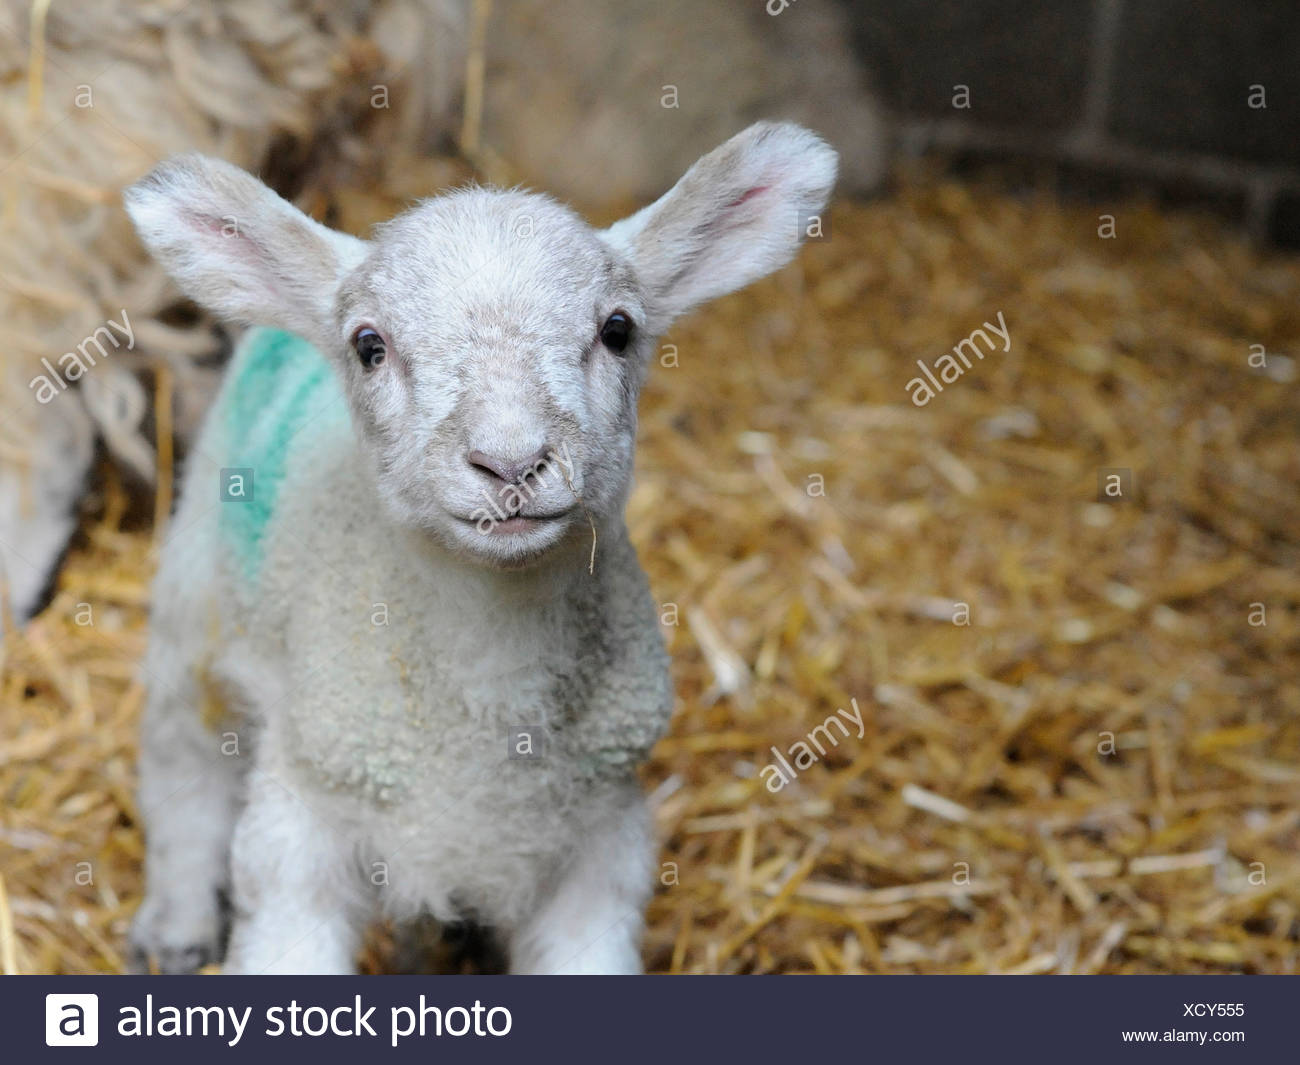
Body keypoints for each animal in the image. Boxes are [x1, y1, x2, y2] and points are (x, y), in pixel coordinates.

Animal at [123, 121, 837, 975]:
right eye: (370, 345)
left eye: (618, 330)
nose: (510, 461)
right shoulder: (301, 821)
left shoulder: (602, 840)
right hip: (195, 581)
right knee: (180, 758)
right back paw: (175, 922)